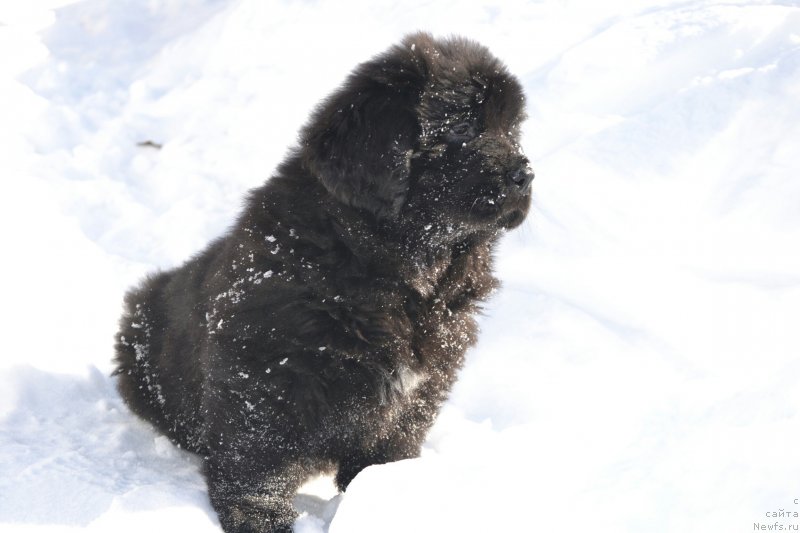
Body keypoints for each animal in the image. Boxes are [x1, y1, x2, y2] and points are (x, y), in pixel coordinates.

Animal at [114, 33, 532, 532]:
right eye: (464, 127)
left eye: (513, 130)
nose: (525, 174)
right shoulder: (271, 366)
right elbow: (259, 455)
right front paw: (261, 516)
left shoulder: (425, 381)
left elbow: (392, 444)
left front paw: (392, 494)